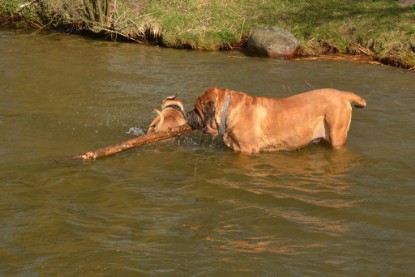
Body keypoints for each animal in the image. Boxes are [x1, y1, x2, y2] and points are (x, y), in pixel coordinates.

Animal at [186, 87, 368, 153]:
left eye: (197, 109)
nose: (187, 114)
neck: (229, 109)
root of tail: (342, 94)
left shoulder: (247, 150)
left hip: (337, 133)